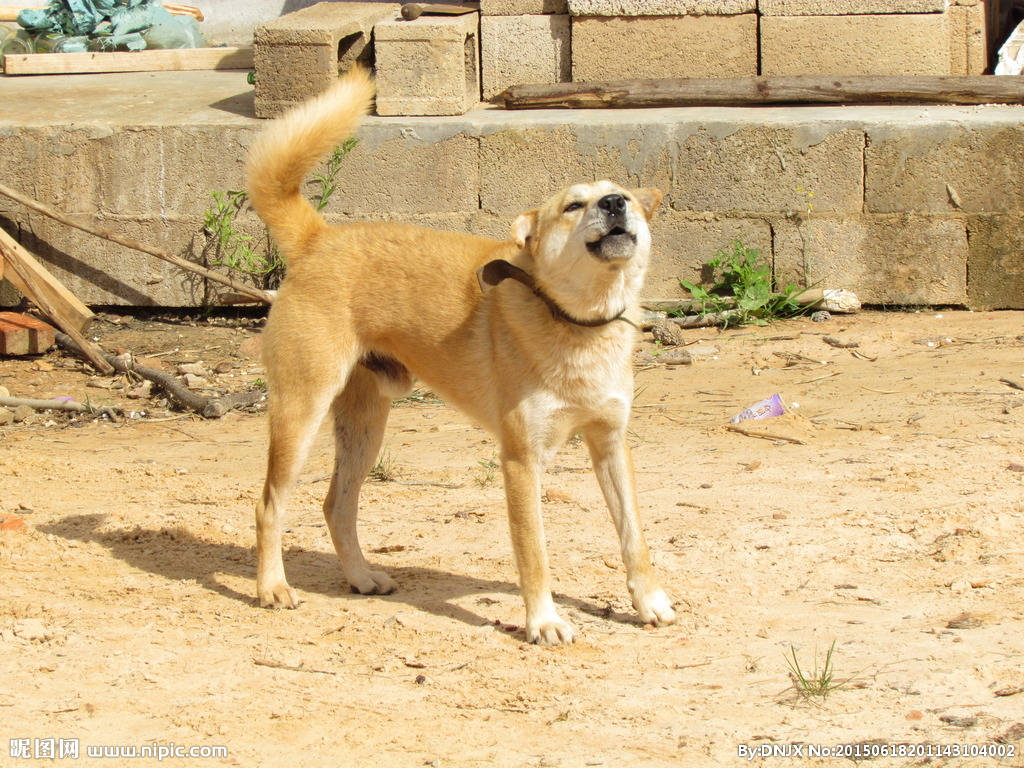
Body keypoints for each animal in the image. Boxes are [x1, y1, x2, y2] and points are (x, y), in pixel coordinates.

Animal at [245, 66, 679, 647]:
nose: (614, 205)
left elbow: (635, 538)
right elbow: (534, 554)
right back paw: (272, 588)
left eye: (622, 194)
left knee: (336, 505)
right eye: (573, 205)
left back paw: (360, 577)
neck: (576, 322)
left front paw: (649, 601)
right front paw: (543, 621)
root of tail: (320, 238)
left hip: (365, 425)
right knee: (269, 504)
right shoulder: (521, 460)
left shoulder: (611, 445)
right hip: (301, 411)